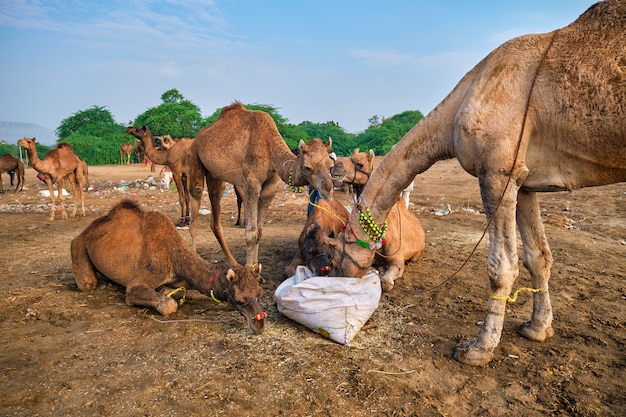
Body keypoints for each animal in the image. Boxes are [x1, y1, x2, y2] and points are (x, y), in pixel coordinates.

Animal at [70, 198, 266, 334]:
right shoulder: (145, 277)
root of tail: (86, 230)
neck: (175, 256)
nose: (259, 324)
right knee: (87, 282)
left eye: (260, 293)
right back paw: (100, 283)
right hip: (78, 245)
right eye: (239, 298)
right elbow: (167, 304)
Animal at [186, 102, 336, 268]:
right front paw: (250, 268)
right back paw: (195, 258)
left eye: (330, 165)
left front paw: (256, 268)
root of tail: (198, 137)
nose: (328, 188)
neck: (269, 148)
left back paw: (233, 262)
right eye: (307, 167)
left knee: (215, 209)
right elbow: (251, 233)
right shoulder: (251, 183)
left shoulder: (270, 188)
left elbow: (259, 232)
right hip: (194, 157)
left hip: (215, 175)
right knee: (195, 204)